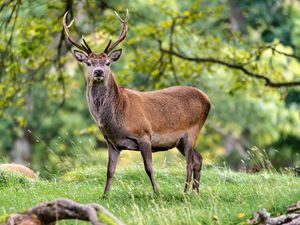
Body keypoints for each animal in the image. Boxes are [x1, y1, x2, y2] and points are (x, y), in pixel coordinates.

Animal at [62, 9, 210, 195]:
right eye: (88, 63)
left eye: (107, 62)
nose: (98, 71)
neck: (118, 116)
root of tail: (206, 98)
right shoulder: (112, 142)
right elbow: (110, 170)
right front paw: (105, 195)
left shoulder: (144, 134)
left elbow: (149, 168)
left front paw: (157, 192)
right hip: (180, 141)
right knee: (199, 158)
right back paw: (195, 193)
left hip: (192, 130)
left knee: (190, 162)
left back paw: (185, 193)